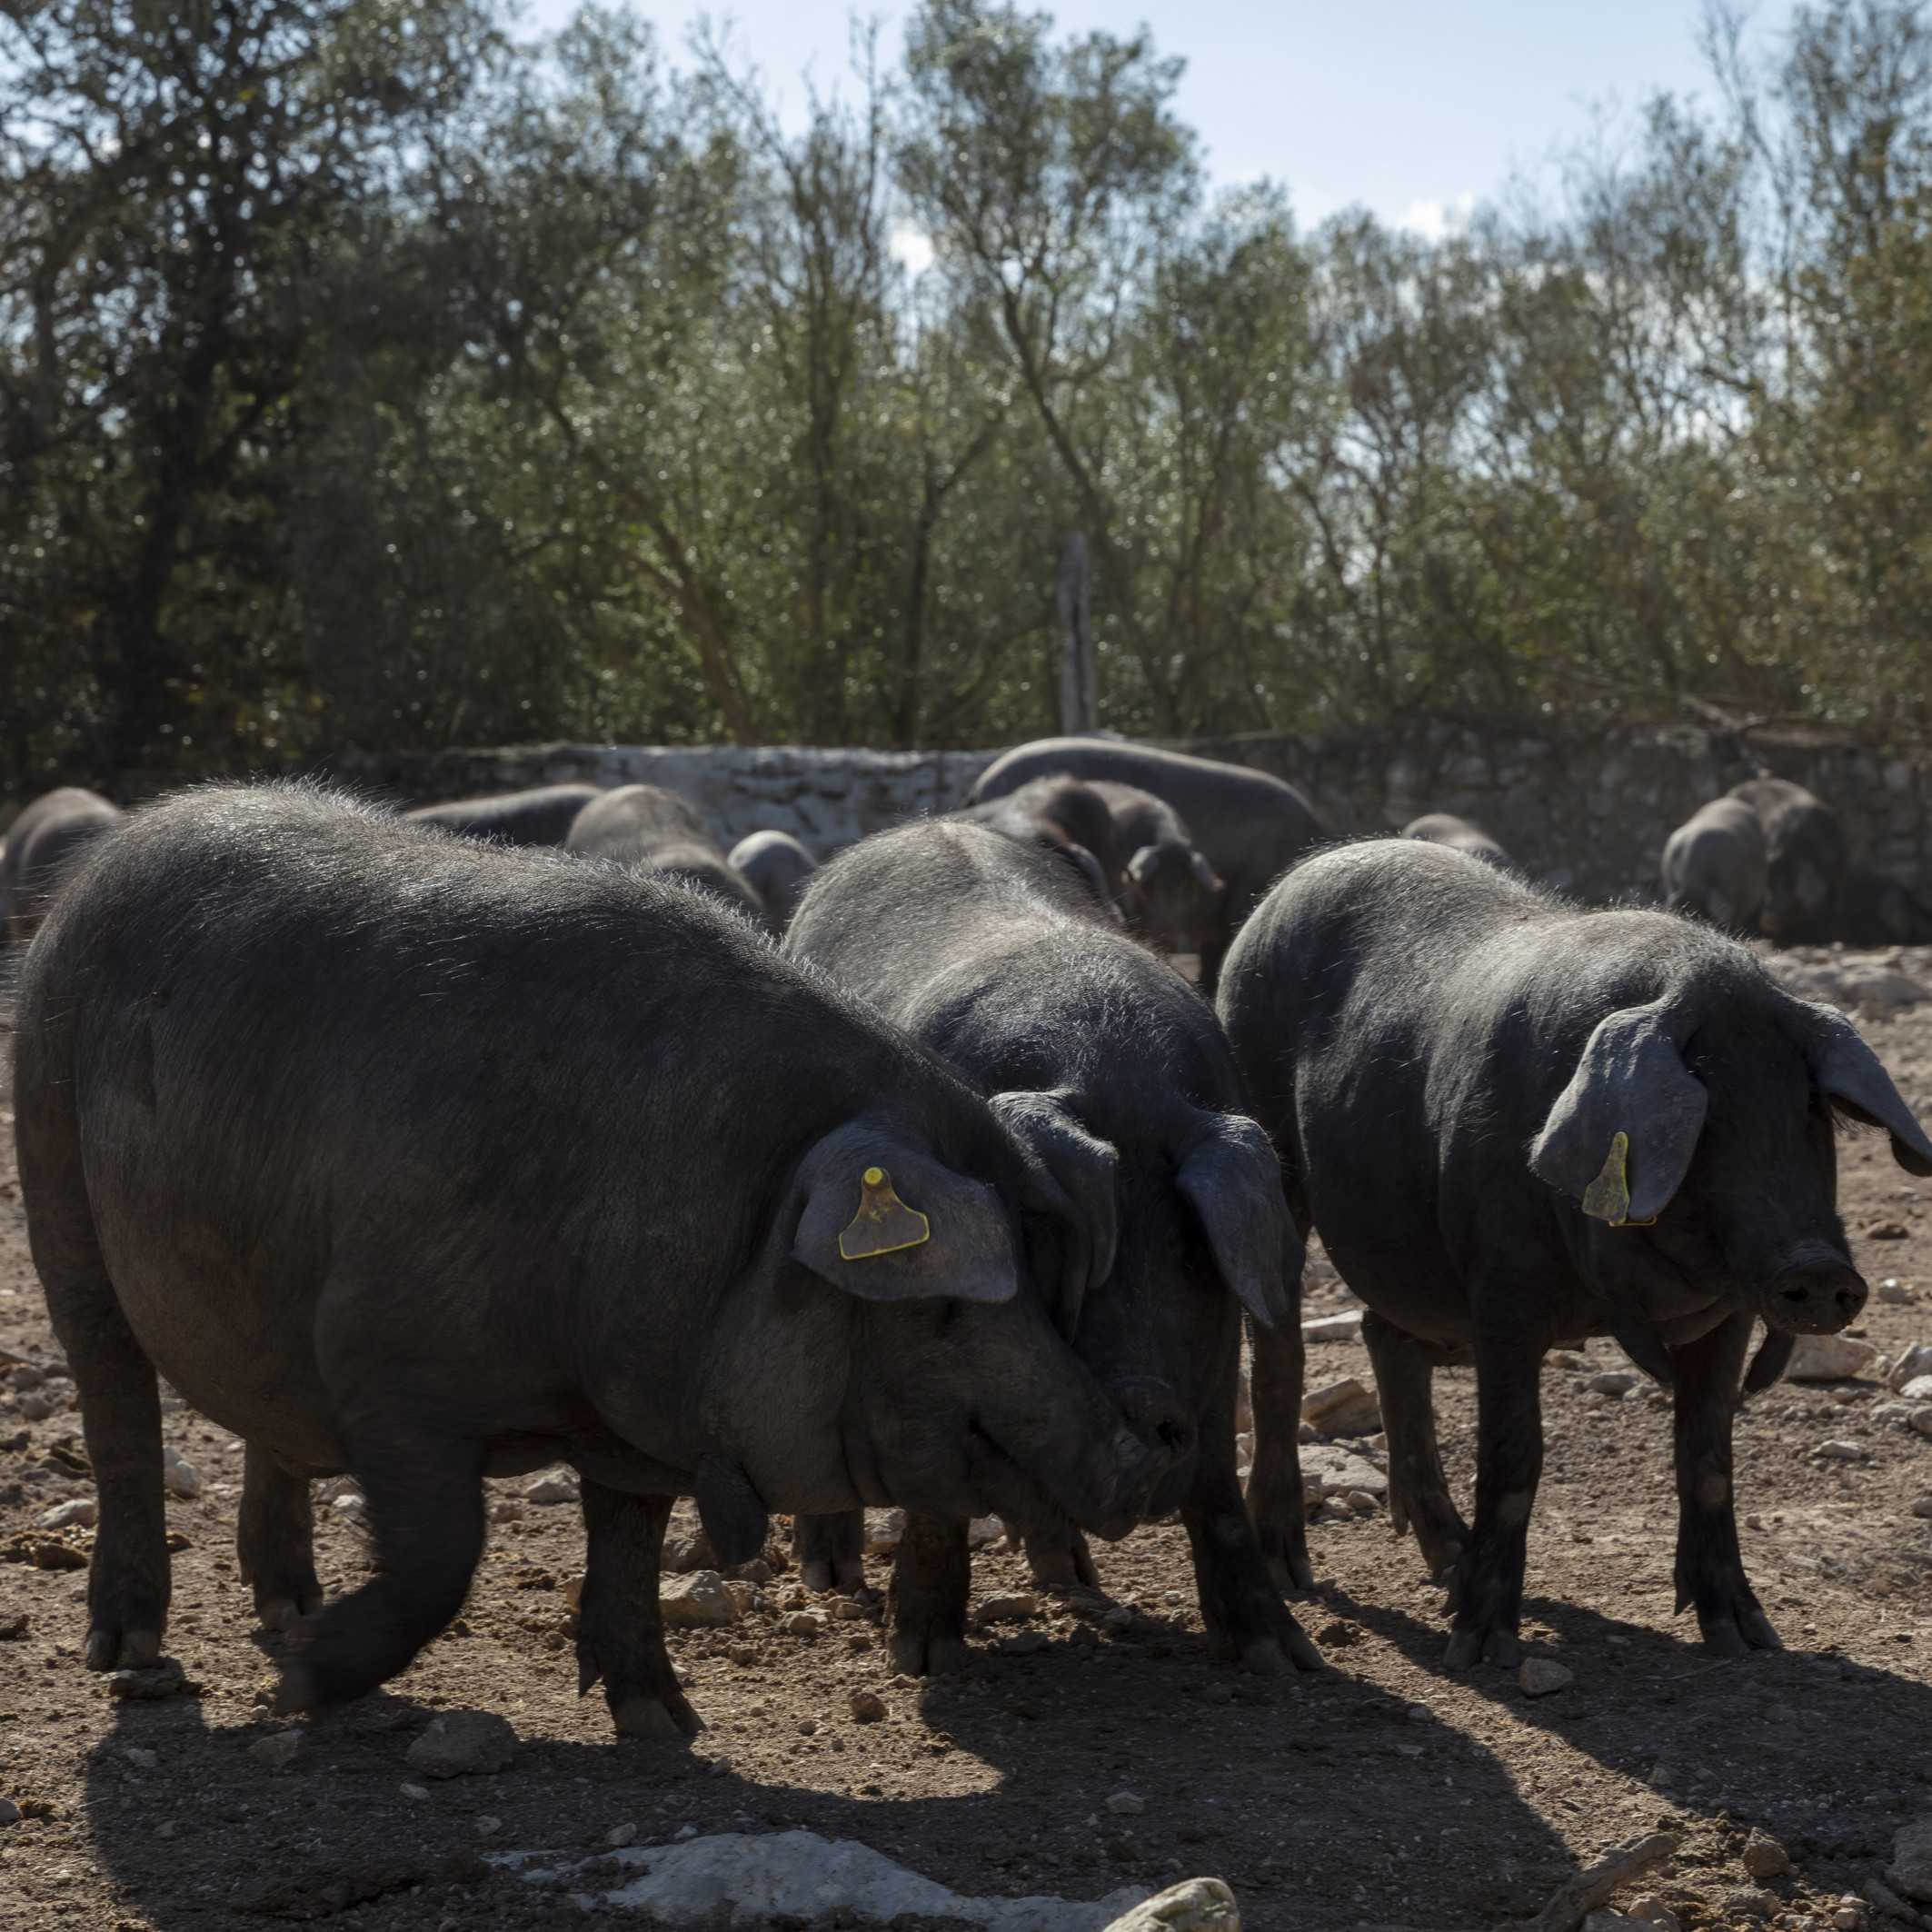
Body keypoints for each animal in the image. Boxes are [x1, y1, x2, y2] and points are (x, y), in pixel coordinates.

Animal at [783, 819, 1317, 1675]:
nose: (1144, 1403)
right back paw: (832, 1580)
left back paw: (1075, 1581)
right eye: (1051, 1248)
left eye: (1193, 1255)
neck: (1111, 1072)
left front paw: (1284, 1656)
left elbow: (1214, 1479)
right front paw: (922, 1659)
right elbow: (935, 1483)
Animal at [1218, 839, 1932, 1664]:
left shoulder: (1727, 1315)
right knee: (1279, 1353)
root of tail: (1276, 896)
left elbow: (1710, 1456)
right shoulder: (1503, 1292)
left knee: (1384, 1335)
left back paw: (1448, 1560)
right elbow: (1513, 1454)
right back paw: (1295, 1571)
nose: (1817, 1267)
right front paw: (1481, 1649)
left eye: (1811, 1114)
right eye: (1708, 1120)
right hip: (1274, 1152)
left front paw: (1747, 1637)